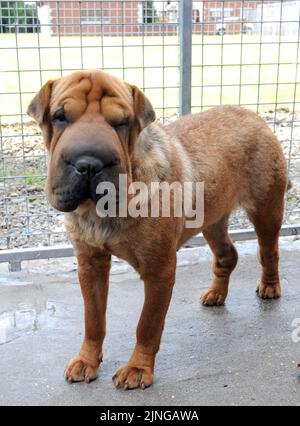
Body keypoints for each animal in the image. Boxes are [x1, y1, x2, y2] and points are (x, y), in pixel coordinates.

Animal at [27, 69, 288, 390]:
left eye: (121, 122)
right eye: (60, 117)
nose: (88, 163)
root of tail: (255, 116)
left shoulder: (159, 269)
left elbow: (147, 324)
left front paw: (138, 369)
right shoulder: (90, 264)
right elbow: (93, 319)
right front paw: (87, 360)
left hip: (266, 210)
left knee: (269, 251)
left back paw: (270, 286)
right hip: (211, 220)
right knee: (227, 256)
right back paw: (216, 293)